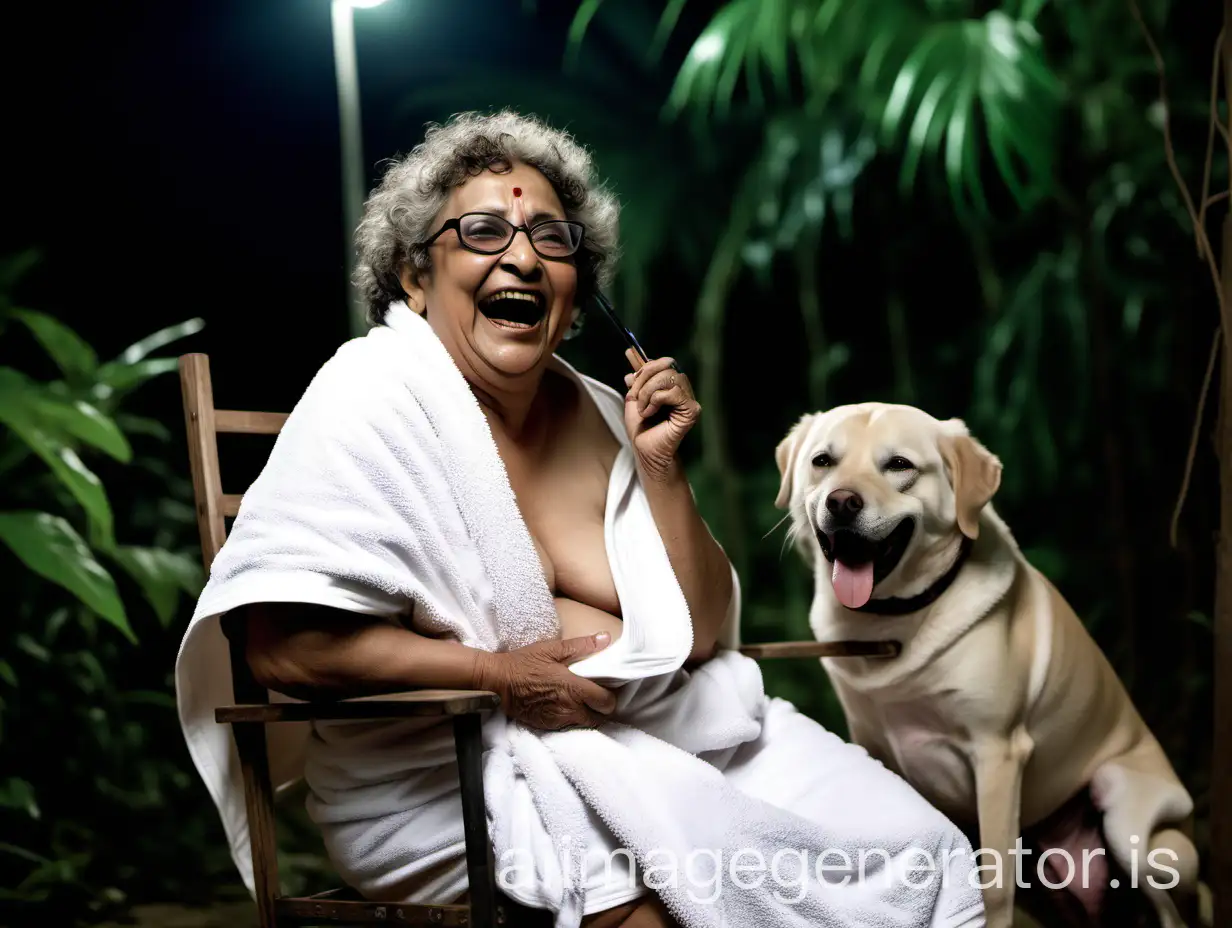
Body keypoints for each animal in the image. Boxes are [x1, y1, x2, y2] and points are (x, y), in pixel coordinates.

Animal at [773, 404, 1197, 926]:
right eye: (822, 461)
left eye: (899, 465)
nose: (842, 502)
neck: (891, 623)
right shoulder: (871, 744)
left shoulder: (997, 753)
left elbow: (993, 882)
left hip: (1128, 818)